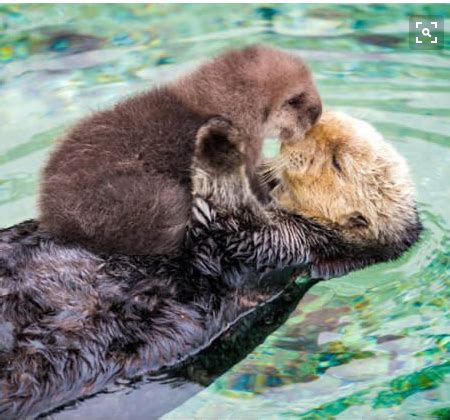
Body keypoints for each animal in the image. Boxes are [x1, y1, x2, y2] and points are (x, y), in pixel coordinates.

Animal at [37, 45, 320, 256]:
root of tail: (55, 217)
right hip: (148, 198)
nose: (318, 111)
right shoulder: (246, 149)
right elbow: (255, 186)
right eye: (294, 100)